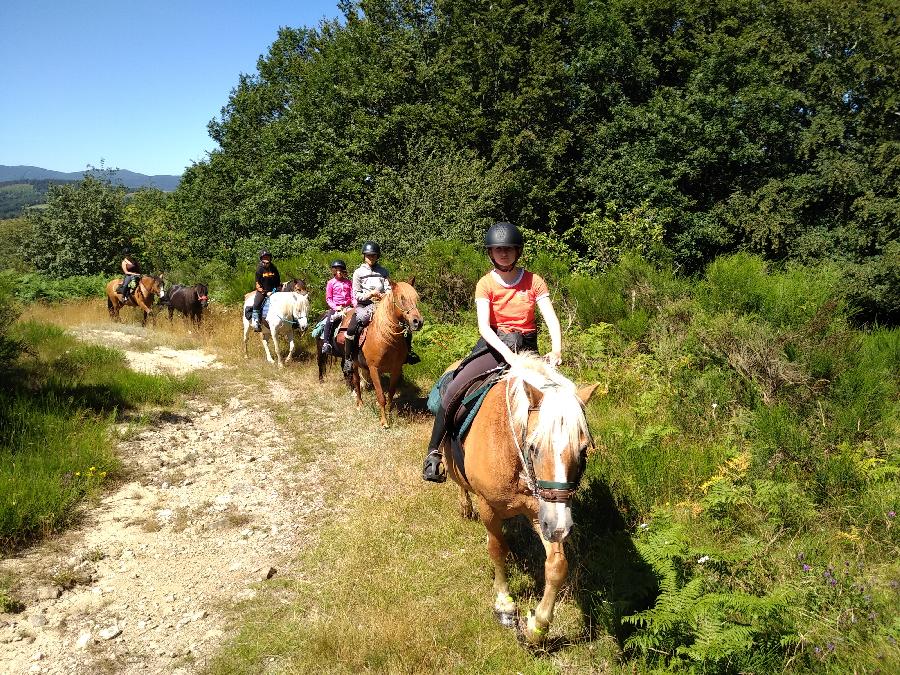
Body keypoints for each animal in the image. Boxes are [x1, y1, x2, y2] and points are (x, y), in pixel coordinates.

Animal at [348, 280, 426, 428]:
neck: (386, 339)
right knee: (356, 381)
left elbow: (390, 394)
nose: (418, 322)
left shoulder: (396, 369)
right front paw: (384, 422)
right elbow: (381, 396)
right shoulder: (374, 369)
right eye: (402, 298)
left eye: (416, 298)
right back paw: (359, 404)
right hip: (354, 363)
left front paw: (389, 414)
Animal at [442, 354, 596, 644]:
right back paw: (464, 506)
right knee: (459, 482)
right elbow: (496, 548)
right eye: (534, 447)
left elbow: (557, 566)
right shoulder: (488, 507)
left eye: (582, 450)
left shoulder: (543, 512)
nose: (561, 528)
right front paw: (504, 603)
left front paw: (537, 627)